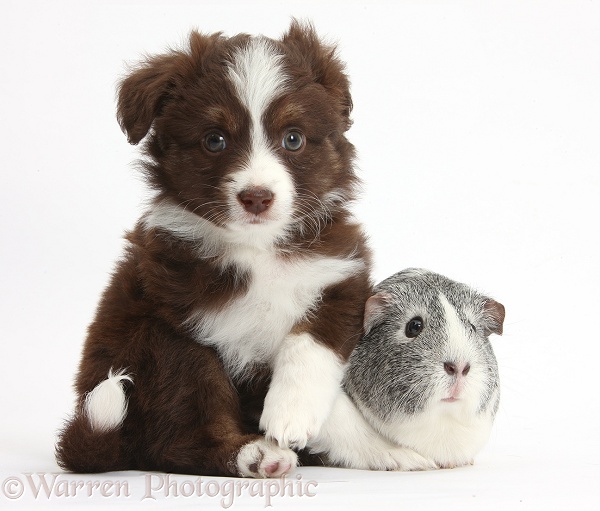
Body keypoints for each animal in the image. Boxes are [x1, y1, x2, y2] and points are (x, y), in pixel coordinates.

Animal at [57, 23, 376, 480]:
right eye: (214, 140)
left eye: (293, 138)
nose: (257, 197)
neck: (259, 249)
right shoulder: (190, 306)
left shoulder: (340, 273)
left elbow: (312, 341)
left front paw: (293, 413)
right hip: (157, 346)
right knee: (178, 437)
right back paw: (255, 455)